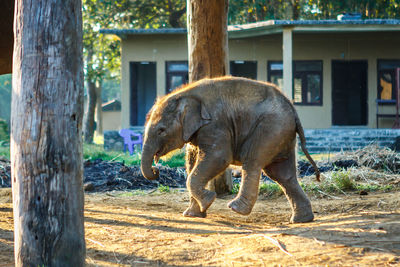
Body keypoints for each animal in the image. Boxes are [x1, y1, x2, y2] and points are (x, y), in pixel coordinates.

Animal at [141, 76, 318, 224]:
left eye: (161, 130)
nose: (156, 170)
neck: (184, 94)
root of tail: (293, 108)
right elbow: (192, 160)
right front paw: (192, 214)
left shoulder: (215, 125)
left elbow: (219, 157)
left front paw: (209, 200)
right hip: (281, 134)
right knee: (282, 174)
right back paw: (302, 220)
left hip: (271, 128)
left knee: (253, 163)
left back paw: (236, 208)